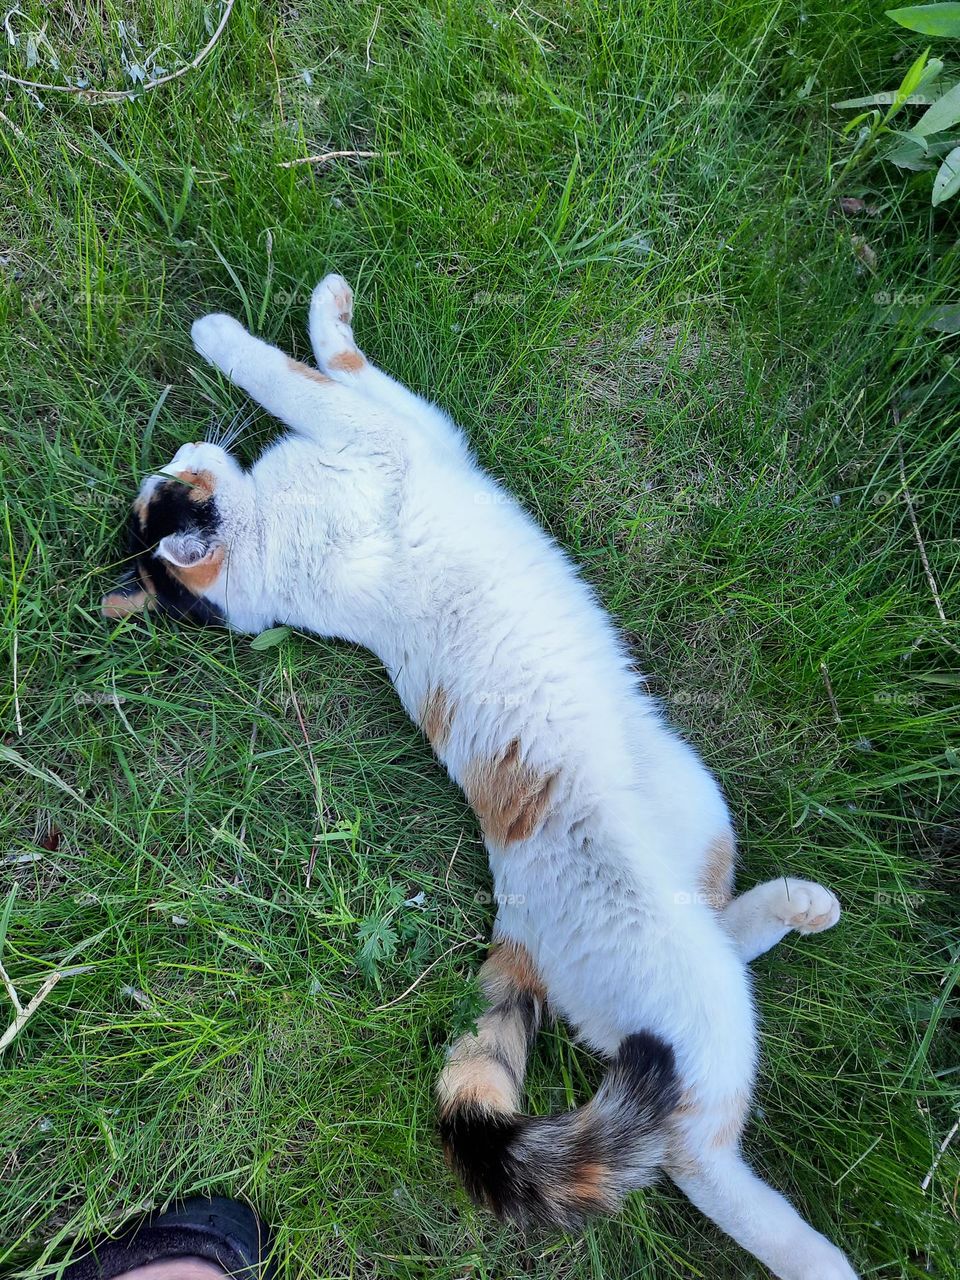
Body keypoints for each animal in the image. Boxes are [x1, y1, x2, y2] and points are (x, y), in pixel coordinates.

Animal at [103, 275, 855, 1274]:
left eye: (164, 488)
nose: (174, 456)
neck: (275, 549)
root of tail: (521, 927)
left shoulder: (406, 422)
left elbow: (336, 361)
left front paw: (317, 309)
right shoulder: (379, 432)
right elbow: (295, 372)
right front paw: (223, 331)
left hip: (701, 808)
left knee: (726, 931)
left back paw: (802, 907)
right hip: (686, 1000)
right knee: (695, 1147)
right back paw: (821, 1256)